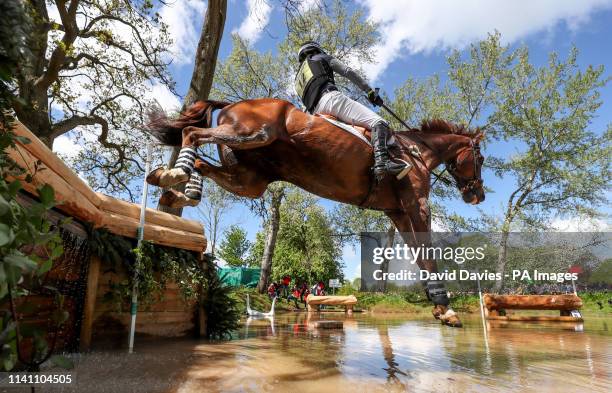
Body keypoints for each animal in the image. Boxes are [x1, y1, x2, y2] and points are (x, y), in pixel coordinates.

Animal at [146, 98, 486, 328]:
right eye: (480, 159)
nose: (478, 195)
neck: (417, 153)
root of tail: (233, 102)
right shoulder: (417, 206)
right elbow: (428, 254)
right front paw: (447, 308)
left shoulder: (398, 213)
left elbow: (420, 256)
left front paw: (439, 307)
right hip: (253, 133)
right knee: (193, 133)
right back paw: (173, 175)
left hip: (249, 179)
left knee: (202, 162)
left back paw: (178, 188)